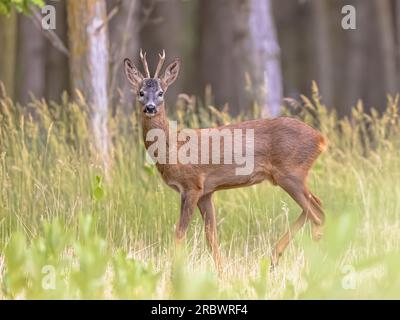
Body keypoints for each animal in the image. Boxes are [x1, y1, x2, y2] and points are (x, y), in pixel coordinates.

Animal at [123, 50, 326, 270]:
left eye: (161, 93)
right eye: (140, 92)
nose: (150, 107)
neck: (173, 148)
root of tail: (320, 139)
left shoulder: (192, 186)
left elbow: (179, 234)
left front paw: (173, 271)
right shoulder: (206, 192)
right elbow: (211, 238)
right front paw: (221, 273)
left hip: (291, 174)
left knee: (317, 215)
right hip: (292, 176)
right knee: (317, 206)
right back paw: (275, 257)